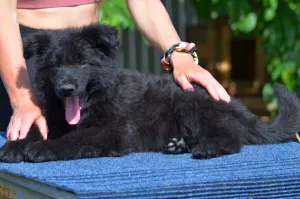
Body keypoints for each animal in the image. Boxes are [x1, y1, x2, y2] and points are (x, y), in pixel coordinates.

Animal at [0, 24, 300, 162]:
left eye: (83, 63)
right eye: (56, 66)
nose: (66, 89)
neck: (97, 100)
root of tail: (240, 110)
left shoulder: (114, 131)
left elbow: (75, 139)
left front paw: (43, 149)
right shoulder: (55, 121)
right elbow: (40, 130)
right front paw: (15, 145)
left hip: (189, 102)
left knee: (232, 138)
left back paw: (207, 147)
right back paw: (178, 144)